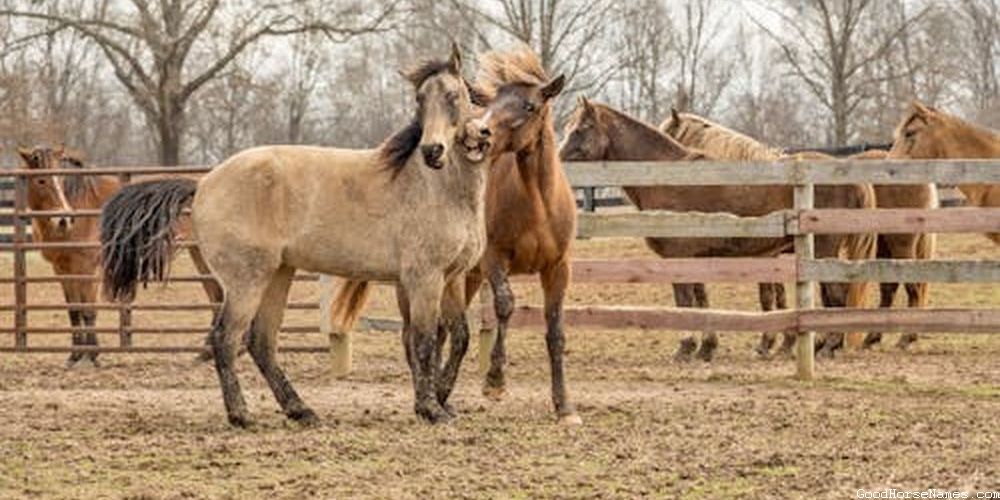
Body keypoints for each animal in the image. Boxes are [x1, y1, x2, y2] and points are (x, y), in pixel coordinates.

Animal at [17, 146, 120, 367]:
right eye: (41, 181)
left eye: (62, 178)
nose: (64, 219)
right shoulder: (62, 269)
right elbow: (74, 310)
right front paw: (75, 355)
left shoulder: (88, 268)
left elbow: (88, 310)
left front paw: (93, 355)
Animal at [100, 47, 492, 427]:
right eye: (419, 99)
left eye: (453, 96)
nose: (432, 151)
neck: (436, 188)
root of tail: (204, 183)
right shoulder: (423, 278)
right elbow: (424, 341)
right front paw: (430, 409)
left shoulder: (451, 279)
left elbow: (459, 336)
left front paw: (441, 400)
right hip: (247, 280)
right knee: (226, 338)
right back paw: (242, 415)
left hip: (277, 274)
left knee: (261, 342)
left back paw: (300, 410)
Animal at [561, 102, 874, 360]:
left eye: (581, 129)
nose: (558, 160)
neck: (668, 179)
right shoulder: (696, 258)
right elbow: (702, 301)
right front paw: (706, 347)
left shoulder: (678, 258)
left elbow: (685, 302)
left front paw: (686, 347)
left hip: (822, 251)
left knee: (836, 294)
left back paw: (827, 344)